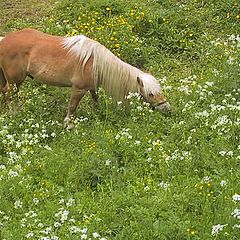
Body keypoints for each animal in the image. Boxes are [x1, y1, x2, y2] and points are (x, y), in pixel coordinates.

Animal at [0, 29, 171, 128]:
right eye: (151, 94)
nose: (167, 109)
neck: (95, 63)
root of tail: (3, 40)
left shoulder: (91, 87)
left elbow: (95, 98)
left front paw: (97, 113)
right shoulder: (79, 89)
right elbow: (72, 107)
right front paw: (68, 125)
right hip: (15, 81)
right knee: (9, 94)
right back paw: (14, 113)